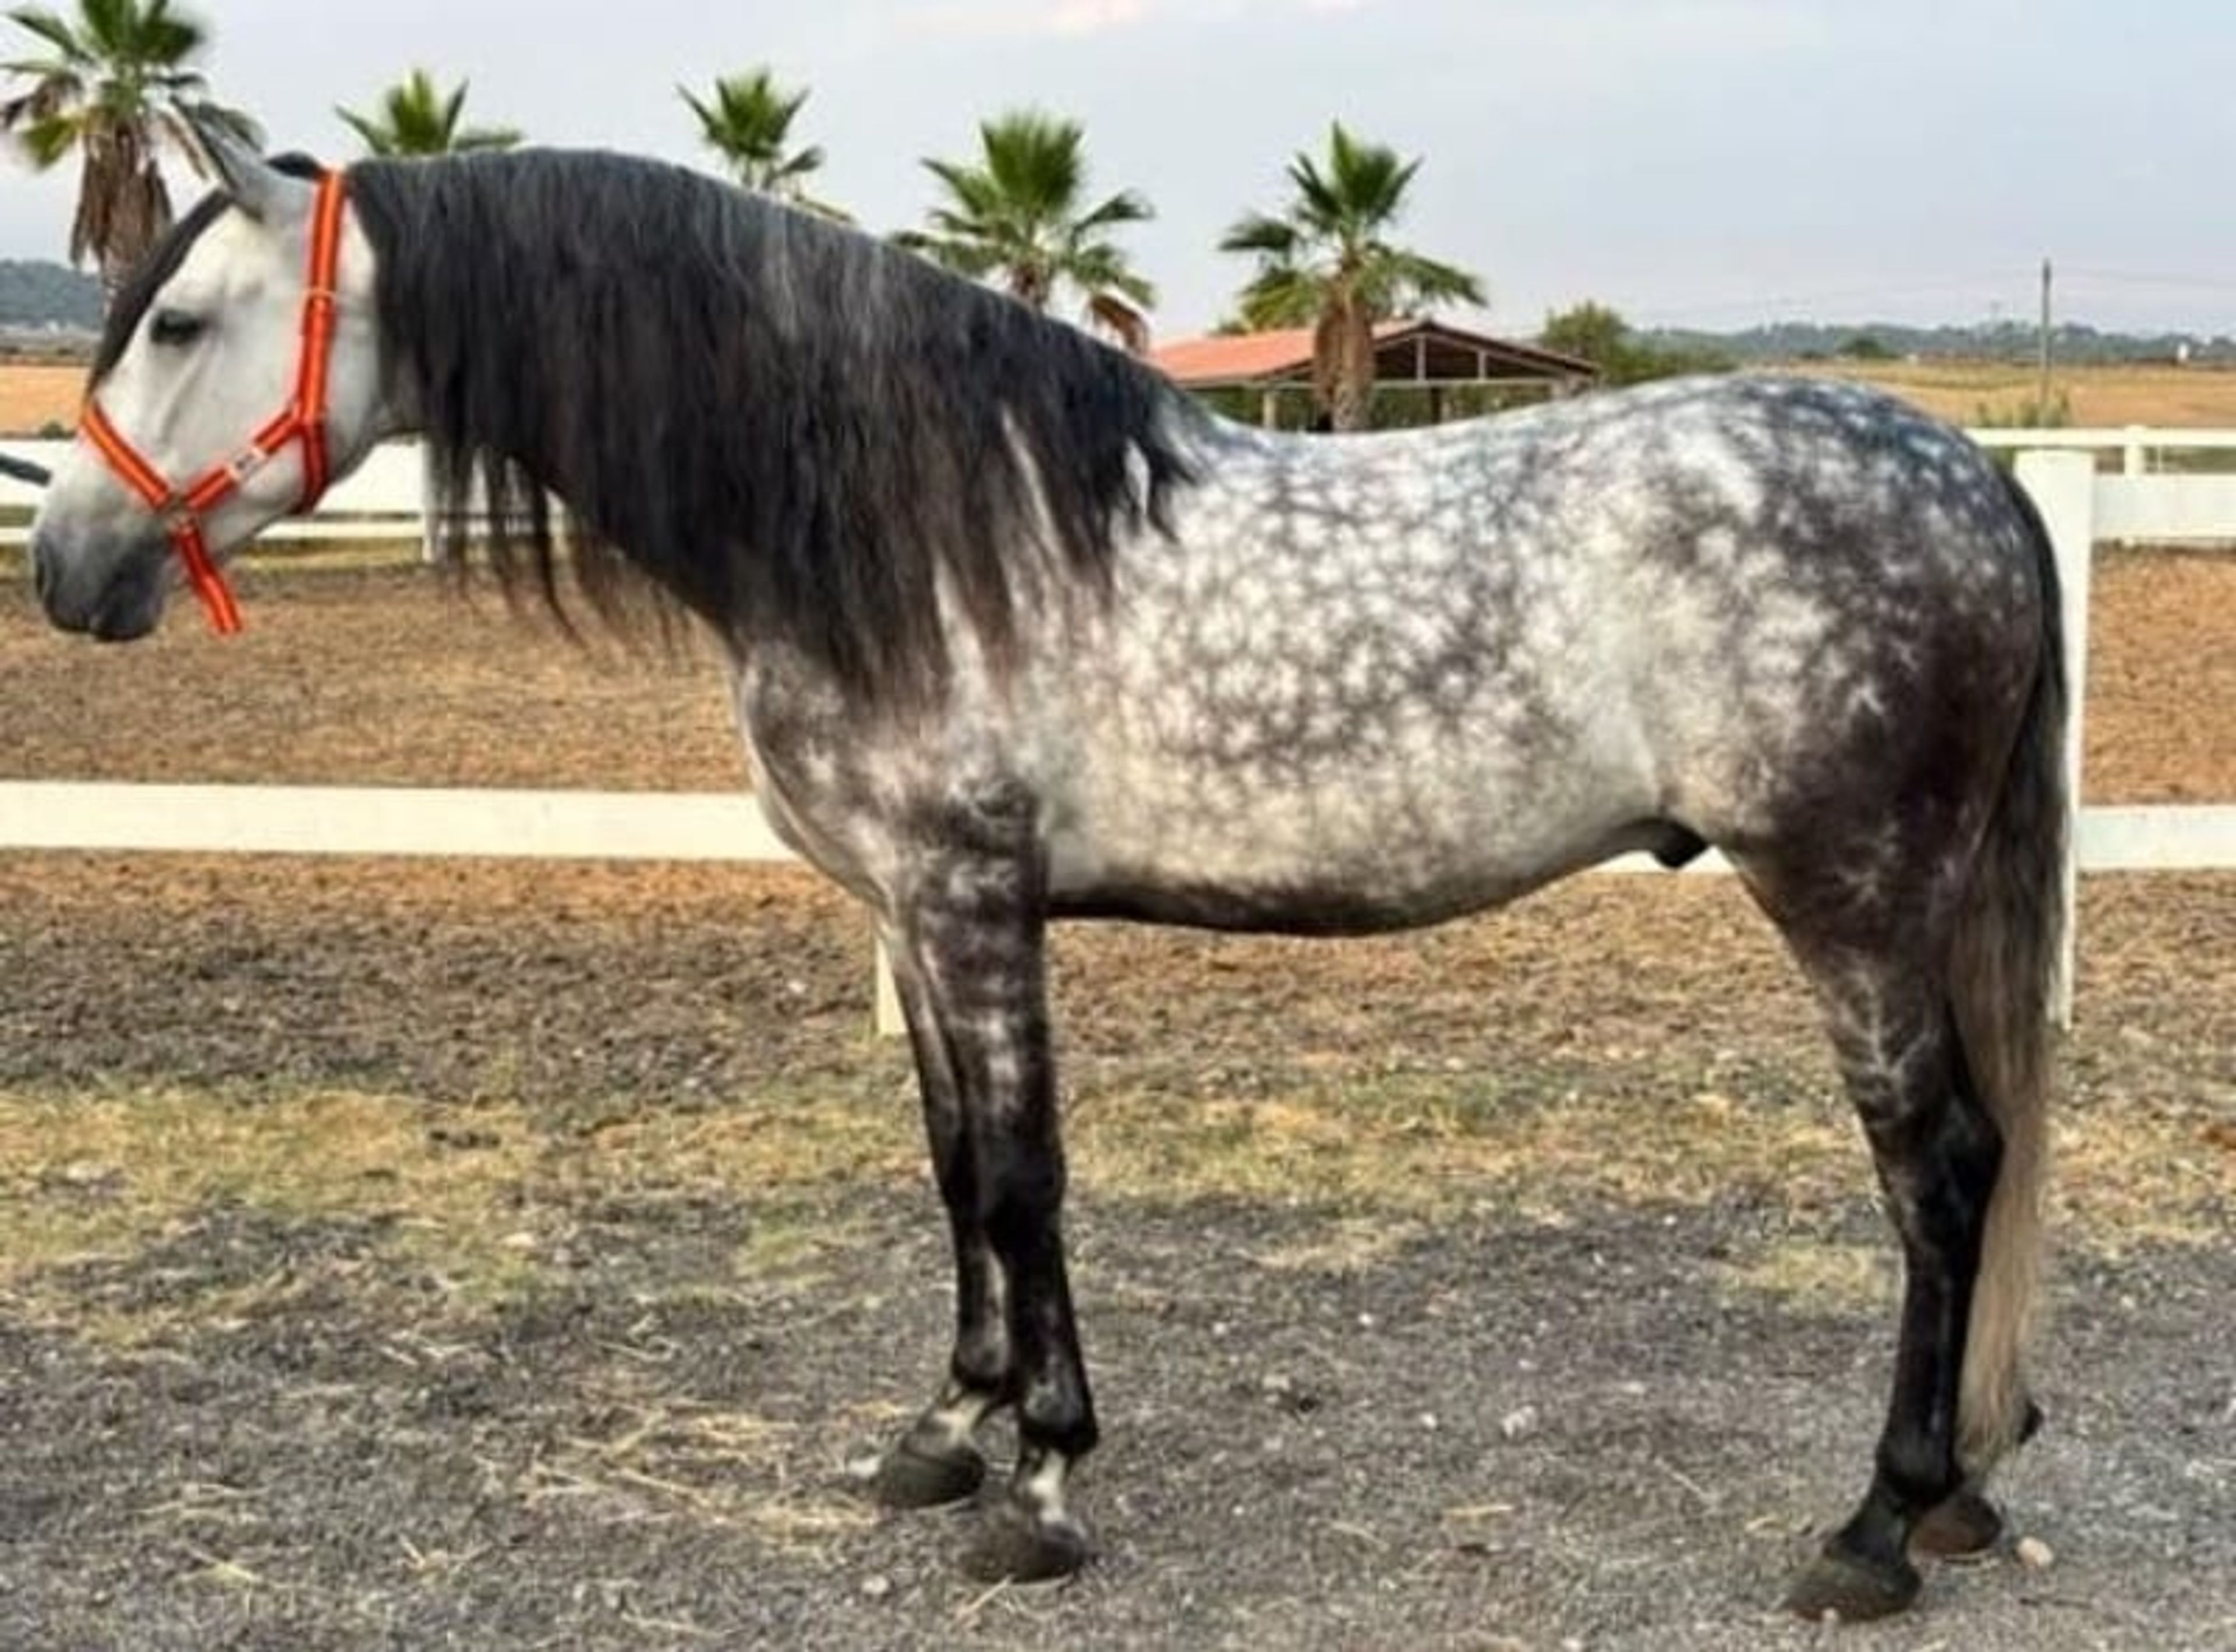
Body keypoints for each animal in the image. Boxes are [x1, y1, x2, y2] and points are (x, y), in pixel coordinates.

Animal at [25, 119, 2065, 1623]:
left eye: (182, 320)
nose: (65, 563)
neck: (906, 527)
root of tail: (1975, 480)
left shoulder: (970, 904)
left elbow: (1021, 1178)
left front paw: (1045, 1482)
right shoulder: (917, 921)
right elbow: (952, 1174)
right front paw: (946, 1429)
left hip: (1849, 893)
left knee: (1941, 1168)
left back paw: (1877, 1527)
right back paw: (1960, 1492)